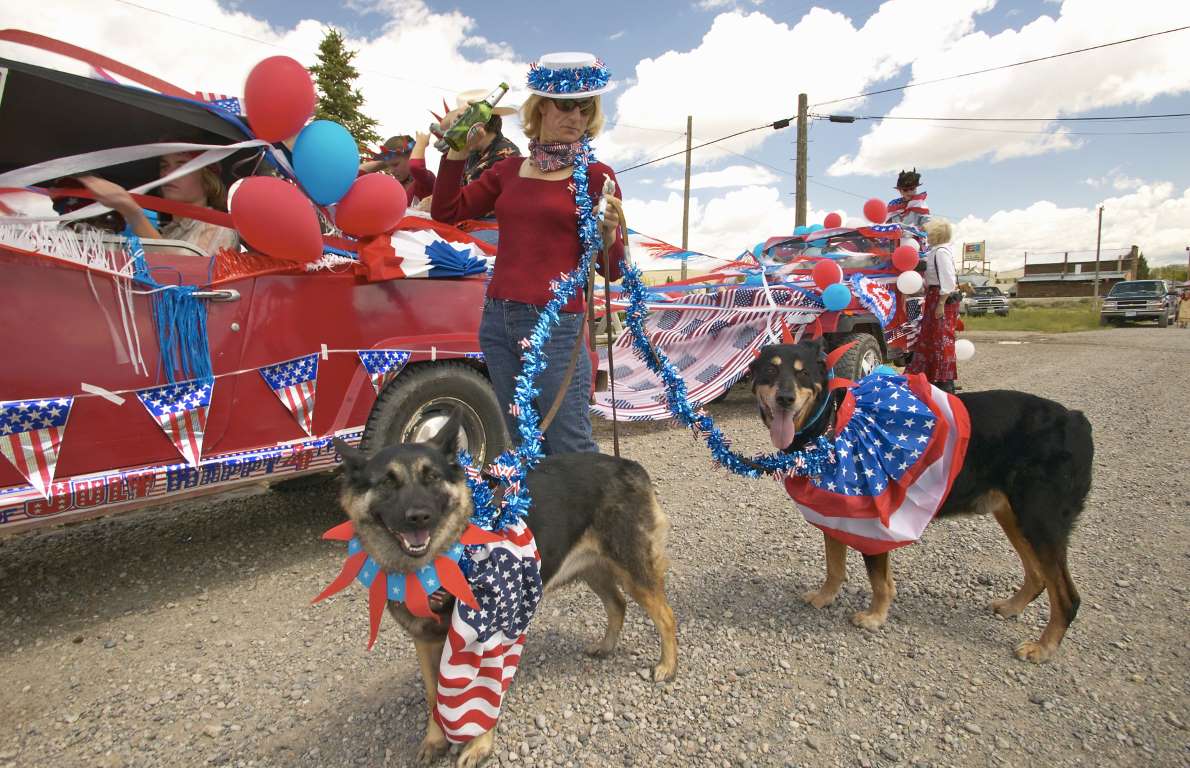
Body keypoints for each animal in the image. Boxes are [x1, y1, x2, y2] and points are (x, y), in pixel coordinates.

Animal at [333, 414, 677, 767]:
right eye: (386, 483)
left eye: (432, 478)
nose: (419, 516)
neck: (442, 559)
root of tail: (627, 464)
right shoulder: (425, 641)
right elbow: (433, 696)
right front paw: (435, 739)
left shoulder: (482, 637)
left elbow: (481, 697)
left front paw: (479, 745)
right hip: (592, 569)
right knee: (617, 605)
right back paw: (606, 646)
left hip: (632, 570)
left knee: (665, 616)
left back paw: (667, 666)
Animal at [750, 338, 1093, 663]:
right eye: (770, 370)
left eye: (803, 373)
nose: (785, 398)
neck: (833, 423)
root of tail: (1075, 419)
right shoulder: (834, 512)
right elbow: (835, 566)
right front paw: (825, 598)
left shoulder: (873, 521)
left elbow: (878, 580)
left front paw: (875, 617)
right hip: (1014, 516)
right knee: (1038, 577)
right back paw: (1012, 607)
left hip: (1040, 521)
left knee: (1067, 596)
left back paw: (1043, 647)